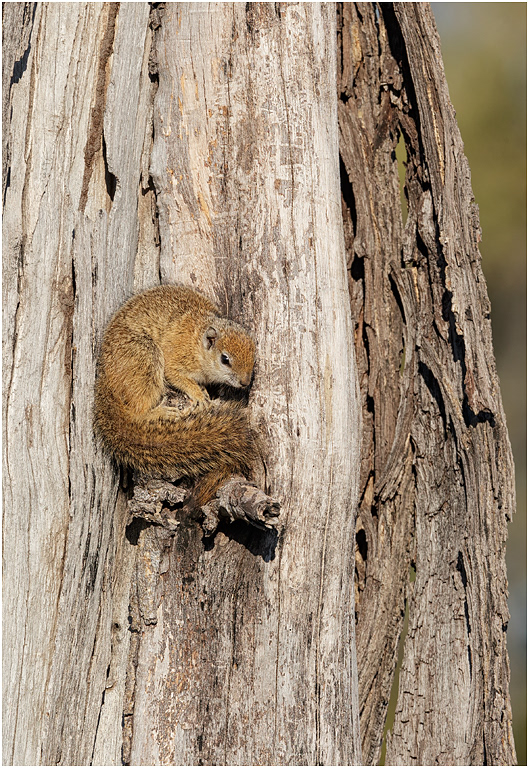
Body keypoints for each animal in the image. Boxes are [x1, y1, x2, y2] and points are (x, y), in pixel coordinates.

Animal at [94, 285, 257, 507]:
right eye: (225, 359)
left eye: (254, 353)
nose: (245, 382)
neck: (197, 342)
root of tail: (105, 381)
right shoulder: (177, 358)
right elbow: (176, 375)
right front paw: (198, 395)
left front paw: (203, 390)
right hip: (145, 358)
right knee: (137, 411)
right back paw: (159, 412)